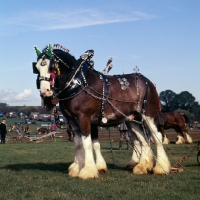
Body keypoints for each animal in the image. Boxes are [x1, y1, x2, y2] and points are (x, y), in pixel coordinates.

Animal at [32, 44, 171, 179]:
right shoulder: (73, 120)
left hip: (148, 115)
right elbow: (81, 144)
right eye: (36, 68)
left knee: (156, 137)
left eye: (51, 67)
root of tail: (148, 82)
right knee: (143, 139)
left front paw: (87, 171)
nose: (45, 92)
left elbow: (87, 143)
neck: (77, 84)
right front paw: (80, 168)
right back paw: (142, 167)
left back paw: (161, 168)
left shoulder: (84, 117)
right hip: (132, 119)